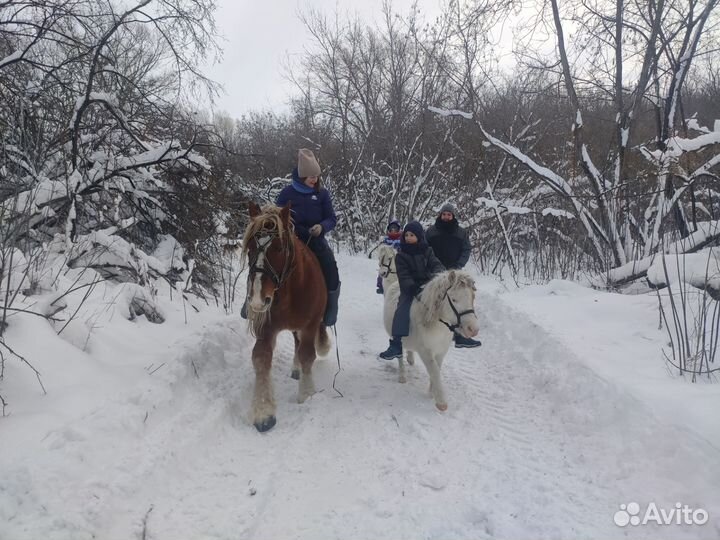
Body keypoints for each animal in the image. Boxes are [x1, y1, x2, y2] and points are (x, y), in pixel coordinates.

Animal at [242, 202, 330, 432]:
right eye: (250, 249)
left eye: (279, 249)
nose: (257, 300)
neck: (292, 289)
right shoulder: (266, 328)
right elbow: (261, 358)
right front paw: (264, 413)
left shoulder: (310, 325)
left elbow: (308, 354)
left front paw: (307, 394)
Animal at [383, 270, 480, 410]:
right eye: (454, 299)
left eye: (473, 297)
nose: (473, 329)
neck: (437, 324)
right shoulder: (425, 351)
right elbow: (434, 371)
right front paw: (441, 402)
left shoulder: (441, 351)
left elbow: (437, 369)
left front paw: (431, 392)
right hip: (393, 336)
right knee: (399, 354)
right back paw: (402, 376)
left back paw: (410, 359)